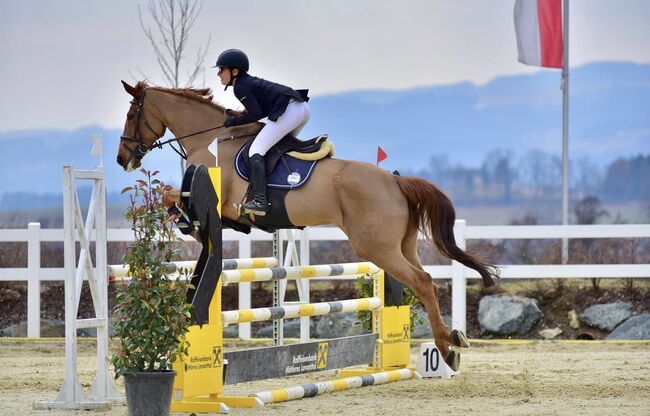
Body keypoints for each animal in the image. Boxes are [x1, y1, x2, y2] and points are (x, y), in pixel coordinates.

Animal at [116, 79, 496, 368]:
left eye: (132, 113)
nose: (123, 159)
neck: (209, 140)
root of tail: (395, 180)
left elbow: (171, 199)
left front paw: (188, 223)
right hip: (401, 246)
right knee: (425, 278)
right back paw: (452, 339)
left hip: (377, 248)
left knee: (423, 282)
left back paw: (446, 349)